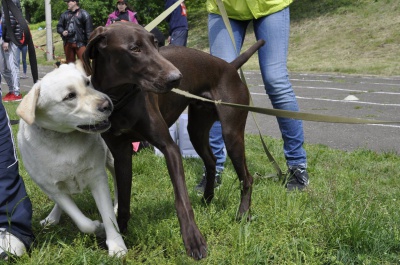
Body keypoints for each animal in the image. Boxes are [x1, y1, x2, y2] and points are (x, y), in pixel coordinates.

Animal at [16, 61, 126, 256]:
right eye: (70, 96)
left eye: (87, 83)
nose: (107, 104)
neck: (64, 138)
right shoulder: (53, 189)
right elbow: (83, 223)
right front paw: (97, 228)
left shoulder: (97, 178)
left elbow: (108, 216)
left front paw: (116, 245)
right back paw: (52, 217)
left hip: (112, 159)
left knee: (116, 178)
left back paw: (117, 205)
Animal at [83, 22, 264, 258]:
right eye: (134, 49)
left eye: (155, 43)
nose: (176, 78)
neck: (121, 96)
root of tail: (231, 68)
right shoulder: (121, 154)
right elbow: (123, 200)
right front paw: (120, 234)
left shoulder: (169, 148)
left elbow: (182, 200)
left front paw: (193, 240)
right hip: (196, 130)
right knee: (211, 161)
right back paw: (207, 199)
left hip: (232, 134)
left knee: (247, 177)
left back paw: (243, 214)